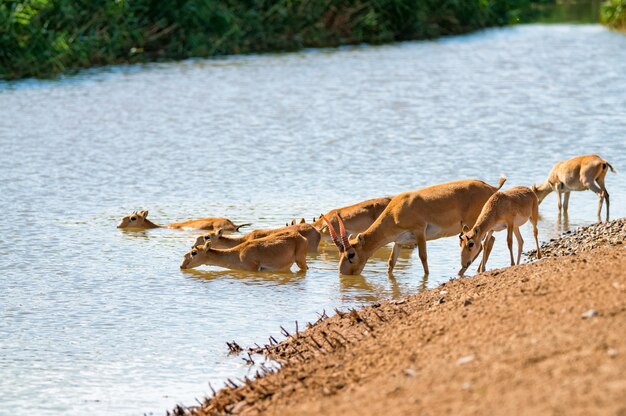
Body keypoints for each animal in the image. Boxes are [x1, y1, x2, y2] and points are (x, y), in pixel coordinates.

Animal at [320, 176, 504, 276]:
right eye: (339, 253)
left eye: (351, 254)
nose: (343, 273)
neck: (396, 210)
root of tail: (492, 188)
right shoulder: (399, 241)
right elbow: (391, 263)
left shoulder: (419, 231)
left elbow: (423, 257)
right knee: (490, 241)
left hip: (474, 226)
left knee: (482, 245)